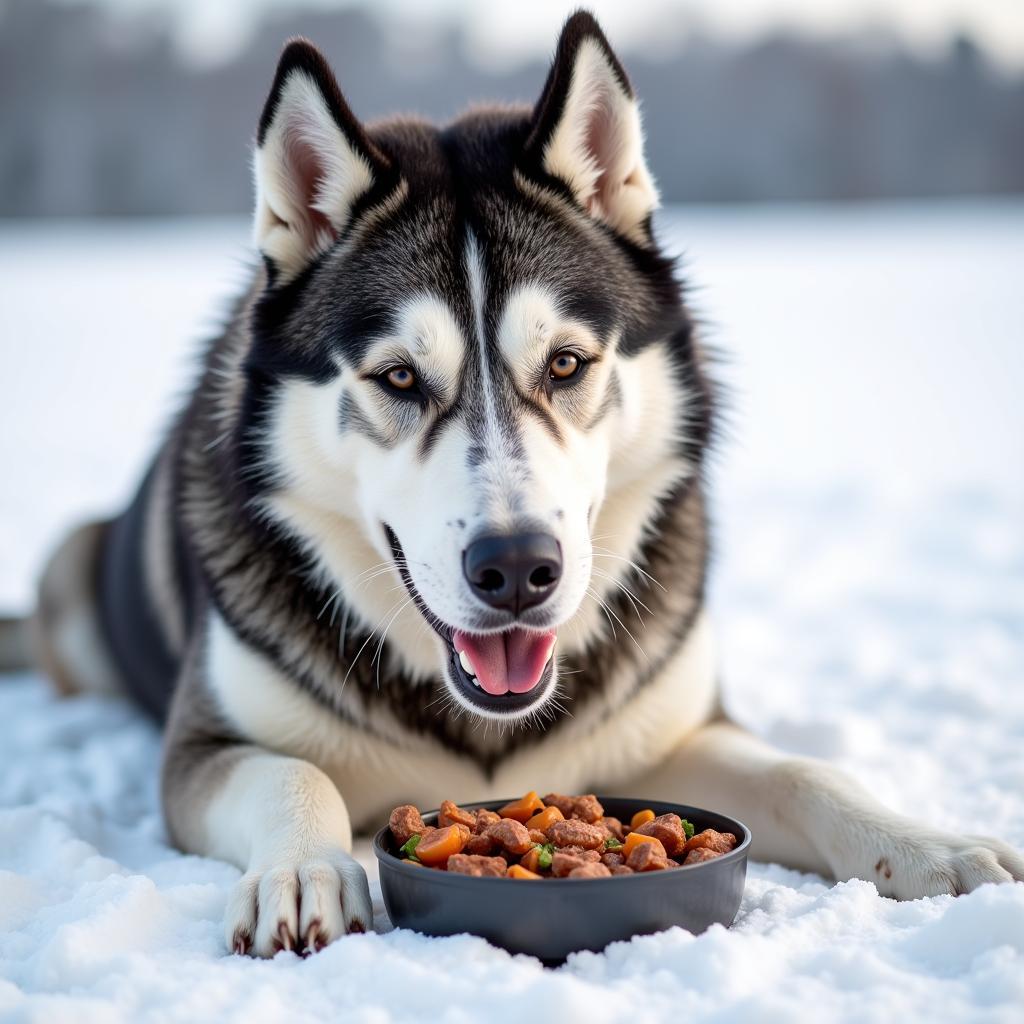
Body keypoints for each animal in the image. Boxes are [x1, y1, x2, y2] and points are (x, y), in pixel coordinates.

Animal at [12, 9, 1019, 958]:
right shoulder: (204, 750)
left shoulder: (670, 737)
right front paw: (301, 871)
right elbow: (295, 773)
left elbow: (805, 771)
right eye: (399, 378)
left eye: (566, 363)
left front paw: (931, 844)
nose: (518, 570)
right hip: (70, 563)